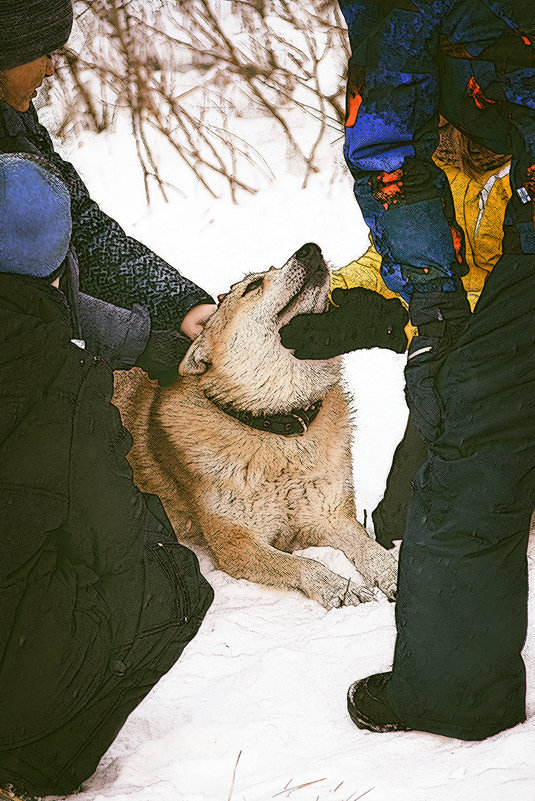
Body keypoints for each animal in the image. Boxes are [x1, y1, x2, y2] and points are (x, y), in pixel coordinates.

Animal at [113, 242, 398, 608]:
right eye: (252, 286)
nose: (310, 249)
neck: (278, 427)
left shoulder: (329, 514)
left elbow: (370, 549)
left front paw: (394, 575)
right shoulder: (237, 543)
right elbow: (303, 564)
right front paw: (340, 587)